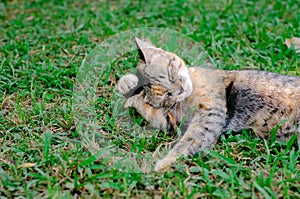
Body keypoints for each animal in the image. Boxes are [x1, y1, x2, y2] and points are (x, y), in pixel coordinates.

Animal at [117, 38, 300, 172]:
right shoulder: (171, 121)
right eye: (165, 94)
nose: (179, 89)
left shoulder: (211, 113)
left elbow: (187, 141)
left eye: (169, 74)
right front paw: (128, 85)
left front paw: (164, 161)